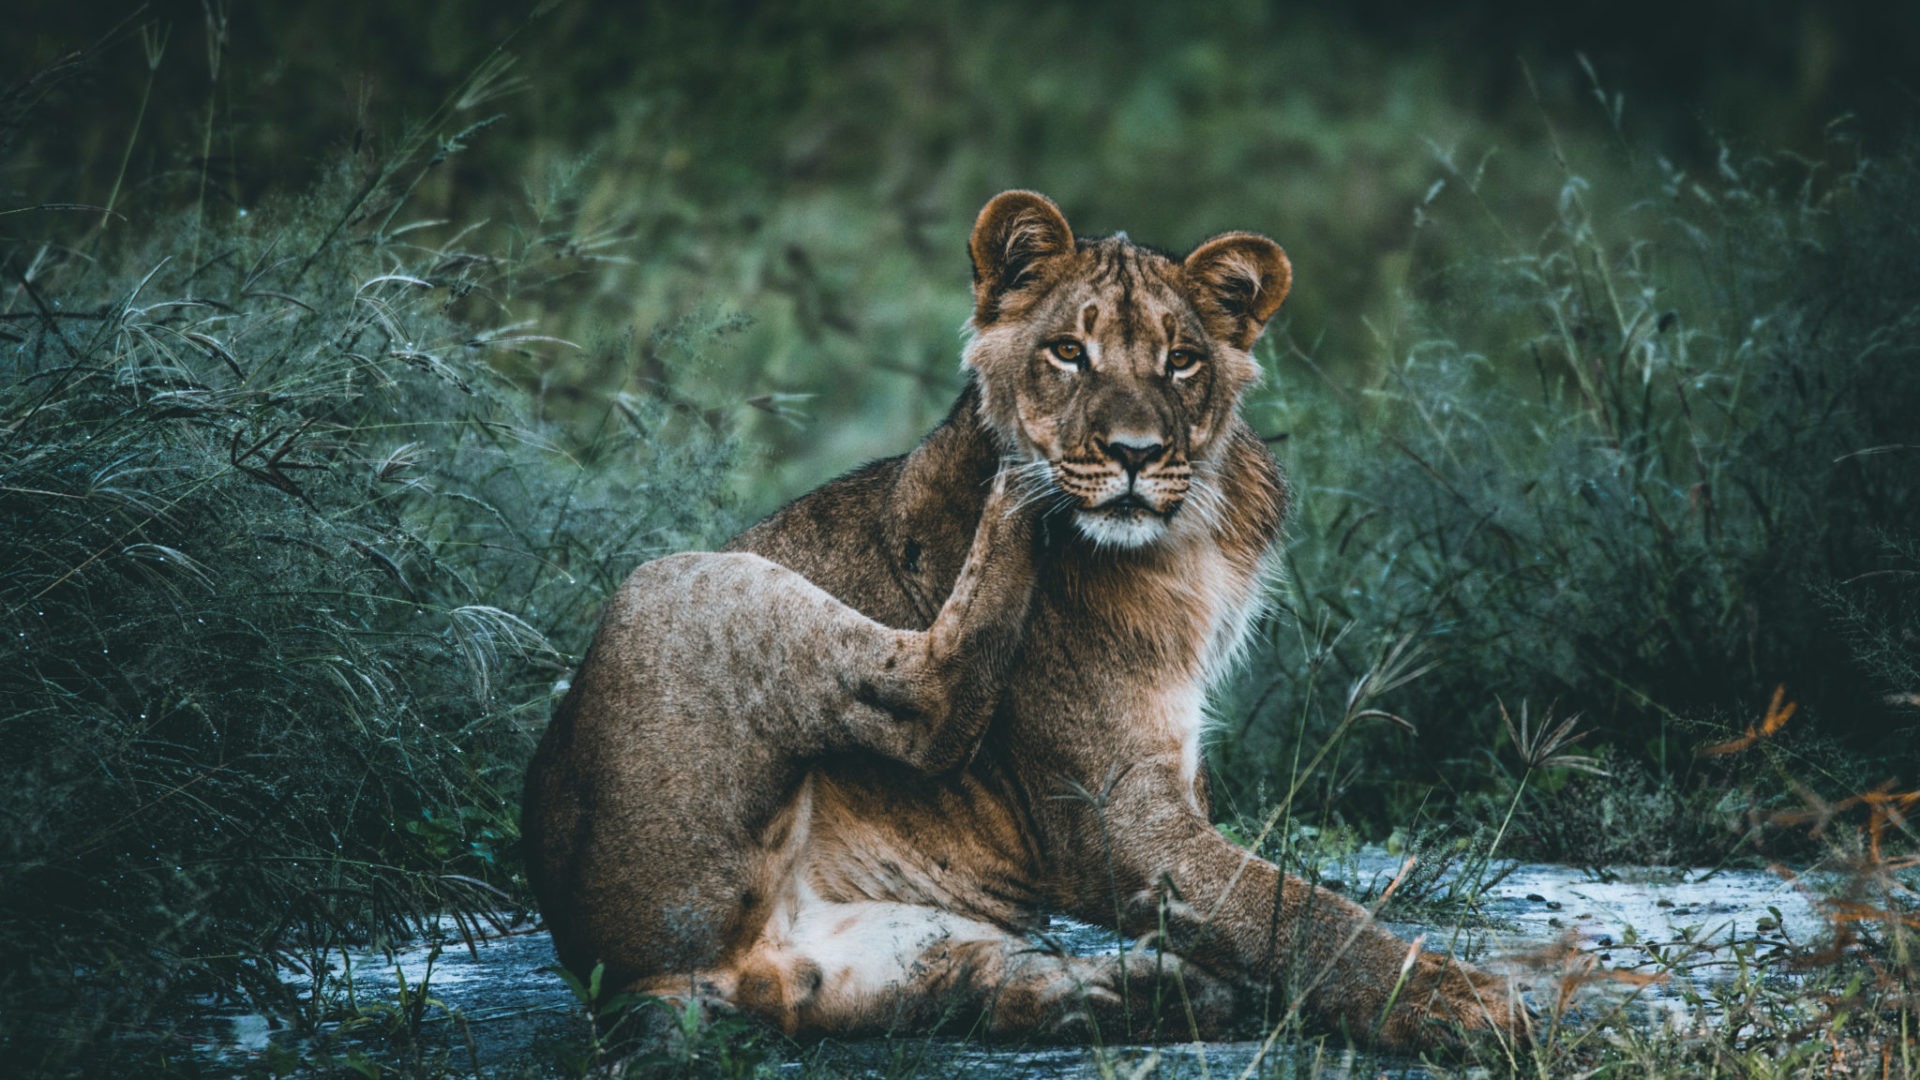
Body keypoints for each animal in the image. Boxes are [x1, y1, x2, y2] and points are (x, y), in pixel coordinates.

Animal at [521, 191, 1523, 1050]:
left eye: (1182, 361)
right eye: (1069, 353)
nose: (1132, 454)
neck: (1183, 542)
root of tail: (638, 987)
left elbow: (1255, 908)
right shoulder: (1112, 820)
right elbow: (1300, 911)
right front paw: (1464, 1005)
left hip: (903, 944)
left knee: (988, 985)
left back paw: (1144, 993)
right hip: (677, 581)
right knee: (931, 700)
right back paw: (1016, 487)